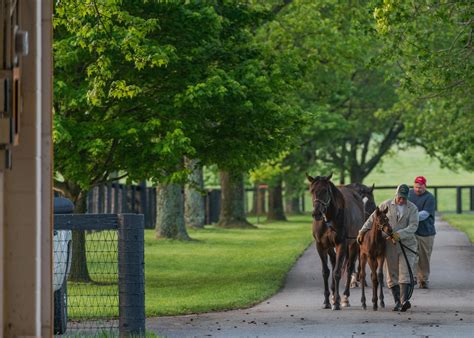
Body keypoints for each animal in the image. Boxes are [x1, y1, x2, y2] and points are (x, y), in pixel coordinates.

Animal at [306, 173, 364, 310]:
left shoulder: (341, 244)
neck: (329, 218)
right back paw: (333, 296)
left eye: (325, 191)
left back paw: (345, 298)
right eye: (312, 191)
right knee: (333, 263)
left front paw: (337, 302)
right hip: (330, 248)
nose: (316, 213)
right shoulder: (321, 246)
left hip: (353, 245)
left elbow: (337, 272)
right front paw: (327, 301)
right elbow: (326, 272)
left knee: (349, 268)